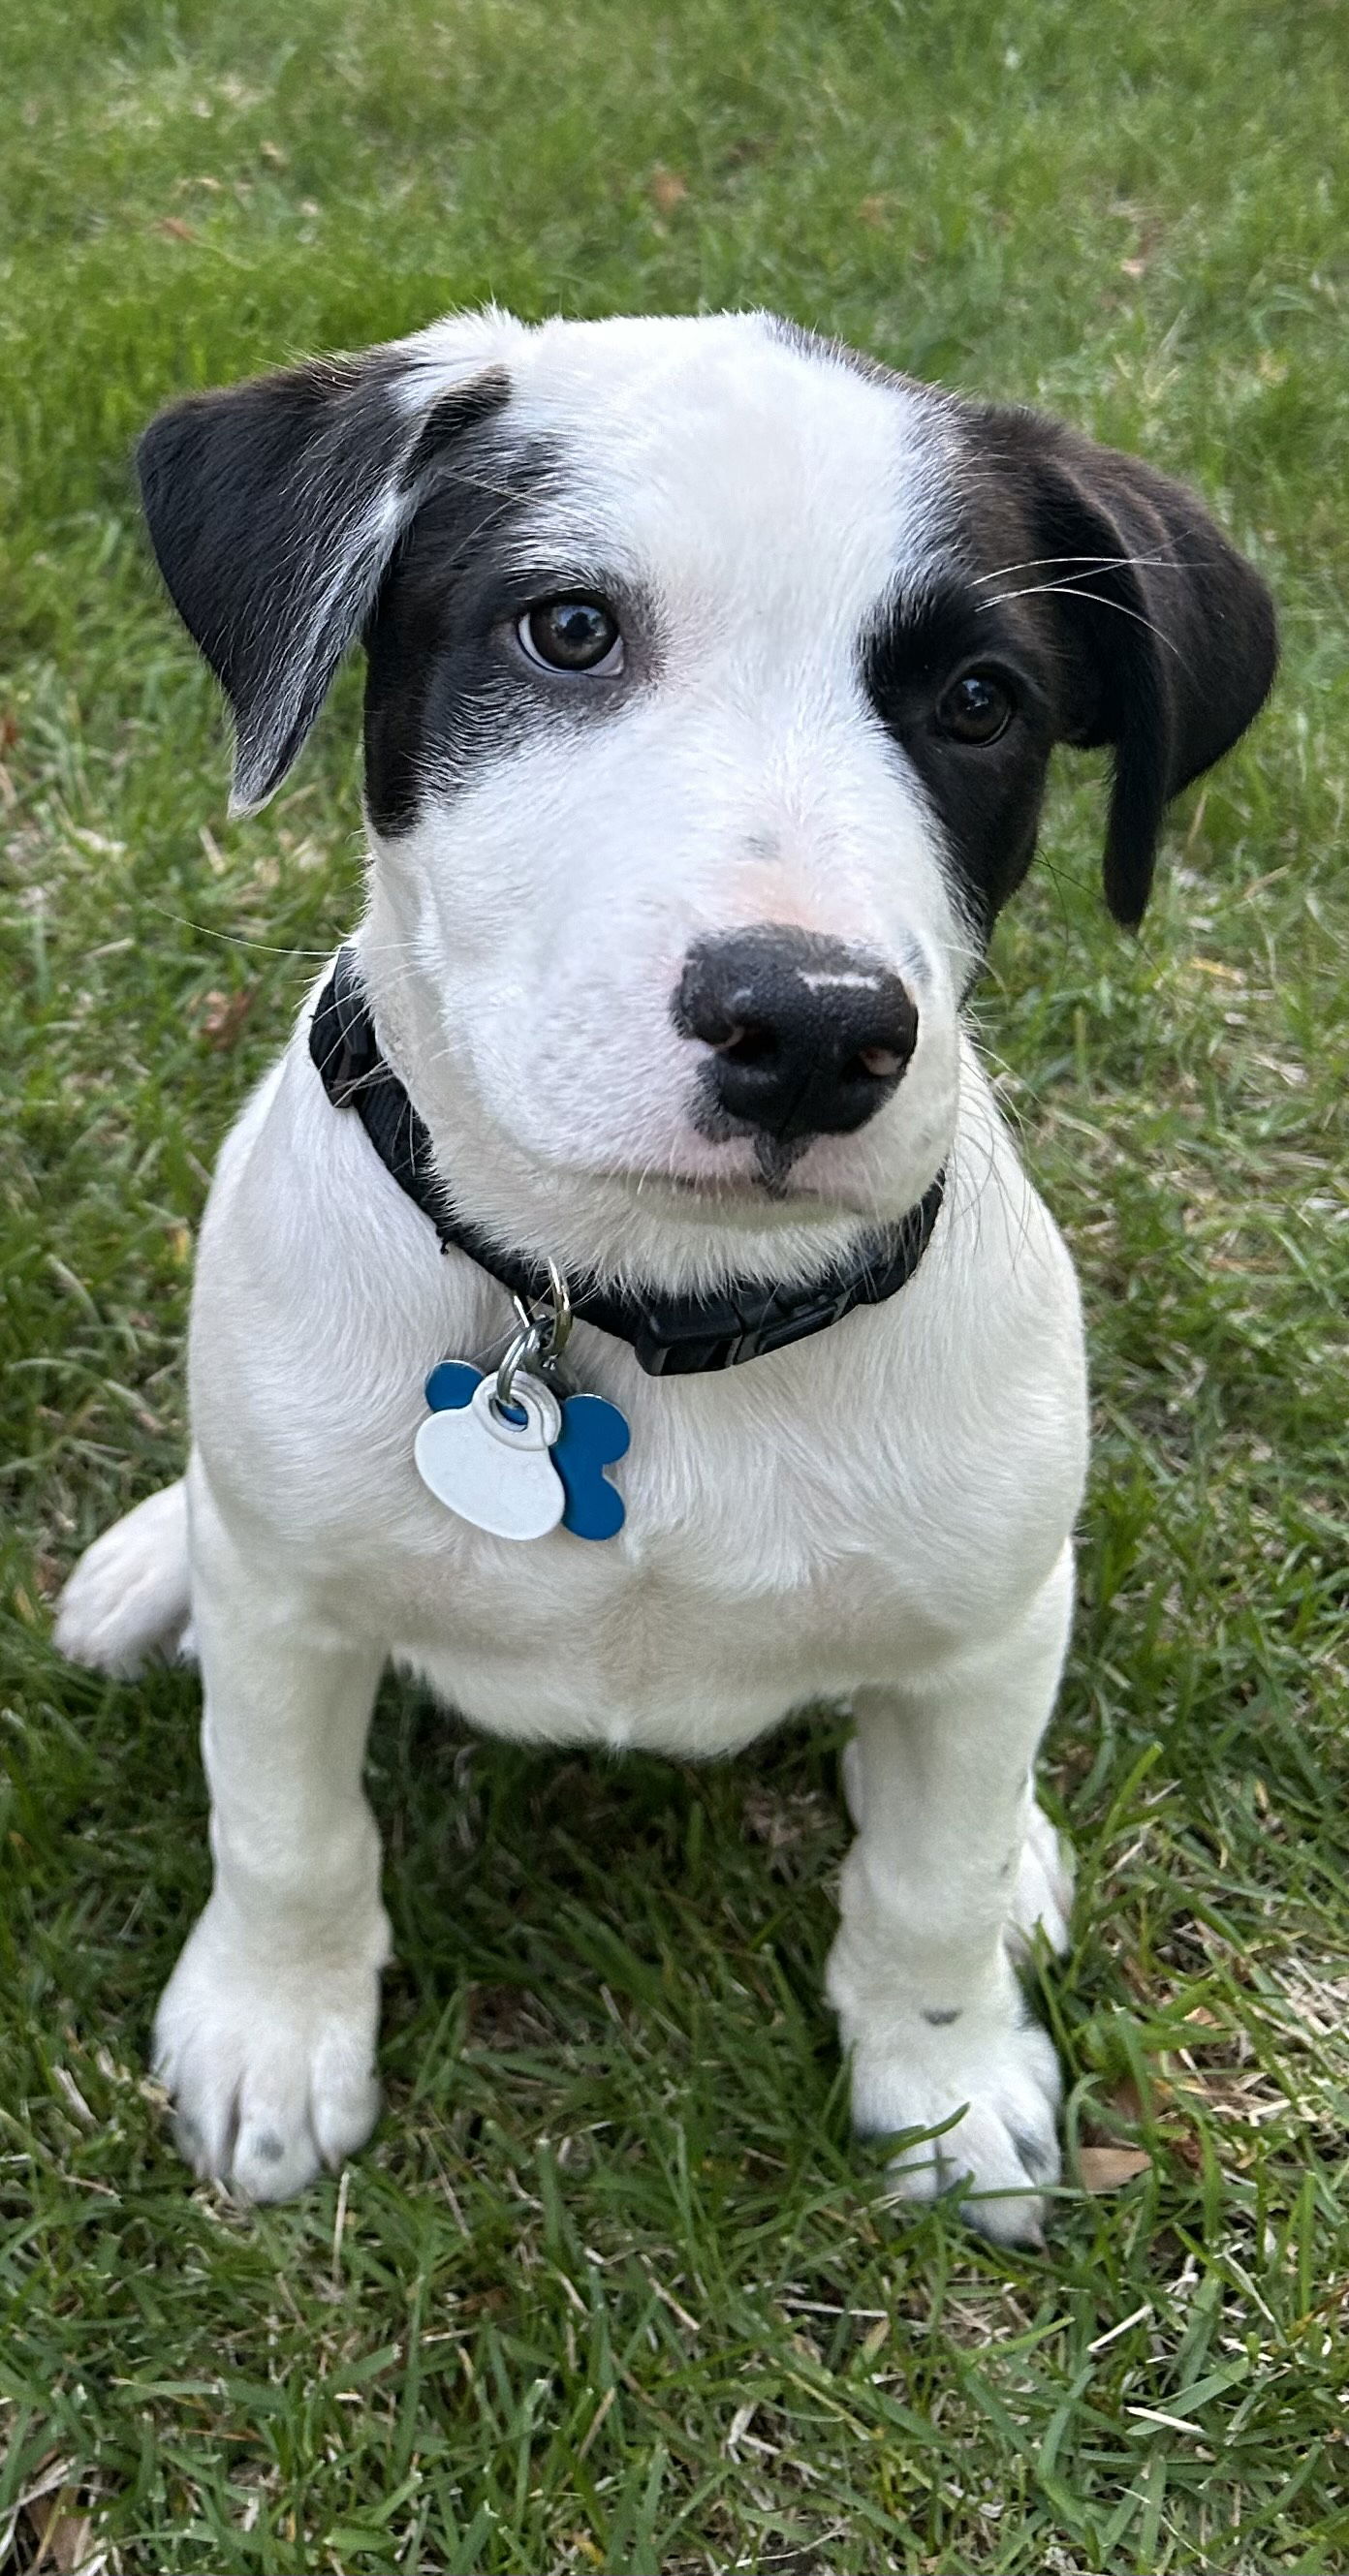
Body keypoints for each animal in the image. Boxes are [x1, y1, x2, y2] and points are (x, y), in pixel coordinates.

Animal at [52, 306, 1276, 2236]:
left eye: (979, 701)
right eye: (567, 628)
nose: (810, 1029)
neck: (630, 1305)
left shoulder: (990, 1626)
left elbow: (925, 1877)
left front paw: (943, 2079)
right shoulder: (292, 1616)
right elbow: (287, 1827)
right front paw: (273, 2026)